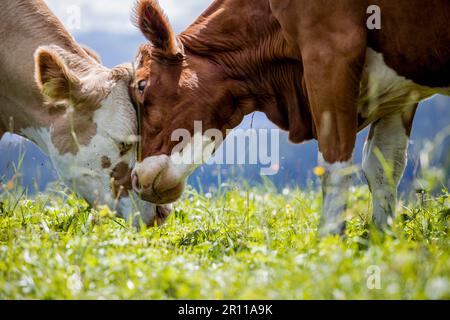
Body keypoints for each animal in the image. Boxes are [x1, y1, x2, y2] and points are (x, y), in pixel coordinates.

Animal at [128, 0, 448, 235]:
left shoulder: (329, 51)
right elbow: (384, 165)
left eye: (142, 86)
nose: (136, 178)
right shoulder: (399, 93)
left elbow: (334, 162)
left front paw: (330, 242)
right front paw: (383, 237)